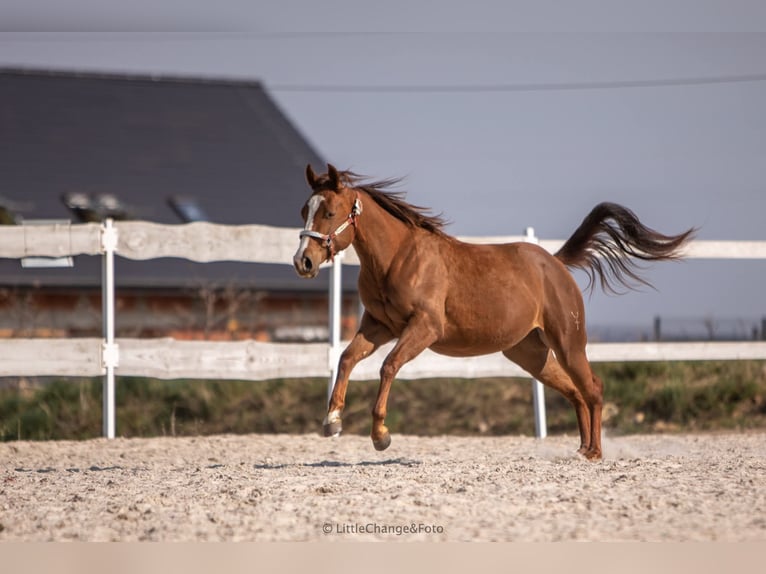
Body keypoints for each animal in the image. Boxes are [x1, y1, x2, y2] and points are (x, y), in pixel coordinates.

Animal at [293, 164, 694, 460]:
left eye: (329, 211)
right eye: (304, 211)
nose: (303, 262)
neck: (397, 258)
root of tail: (555, 263)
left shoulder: (424, 327)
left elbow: (388, 366)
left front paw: (380, 435)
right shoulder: (378, 326)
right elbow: (346, 358)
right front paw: (332, 422)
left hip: (568, 343)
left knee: (592, 388)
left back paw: (595, 452)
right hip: (530, 353)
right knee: (575, 392)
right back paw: (581, 450)